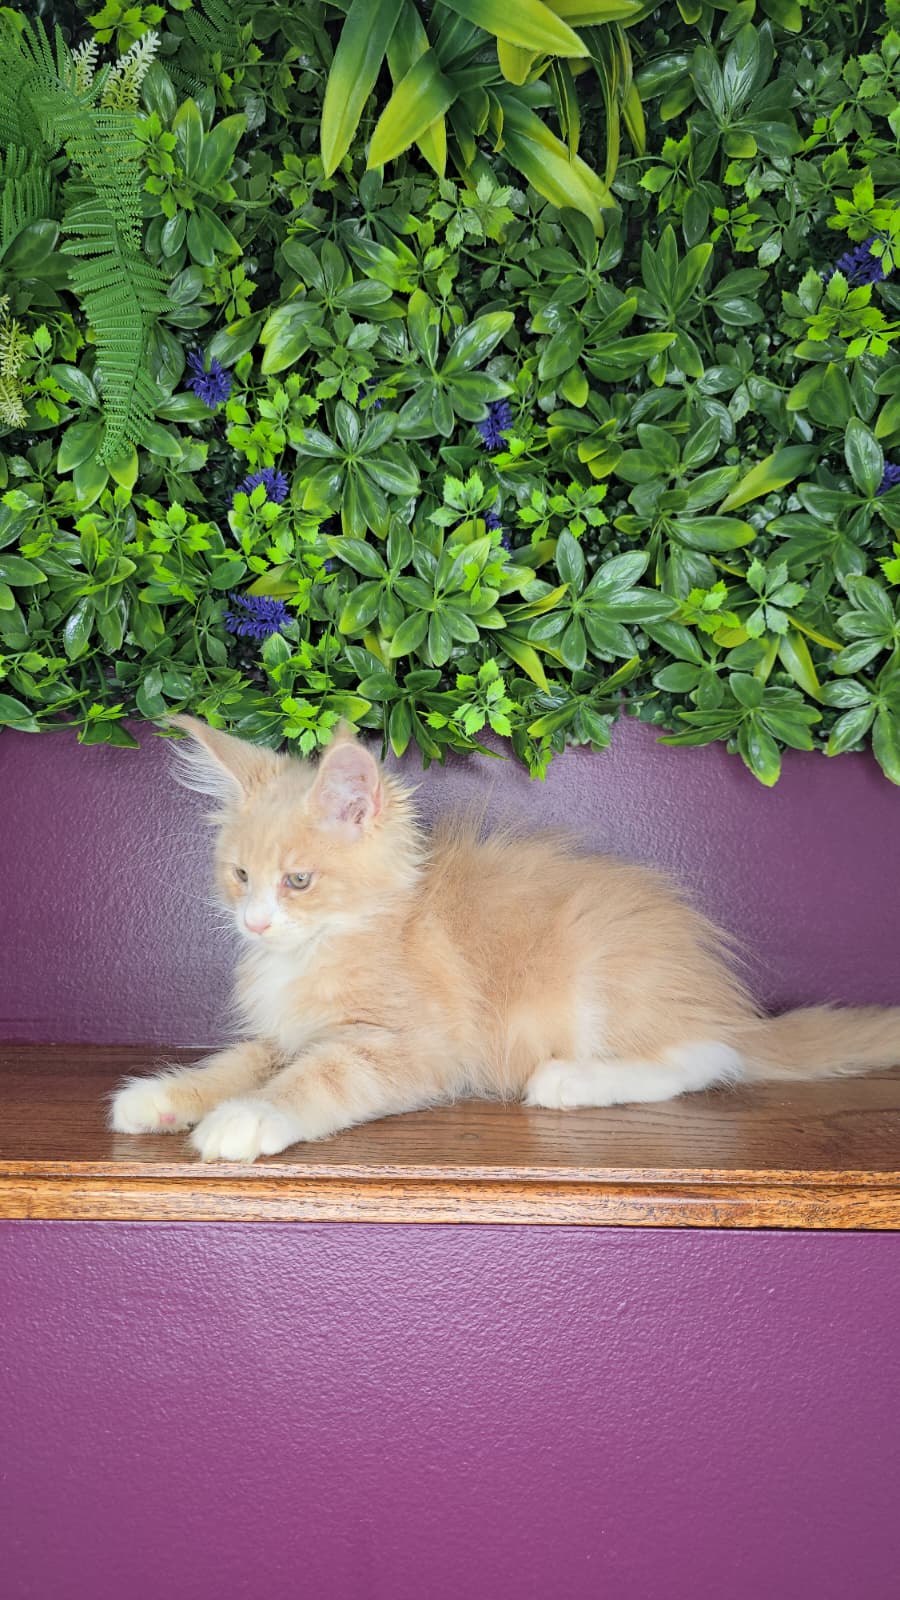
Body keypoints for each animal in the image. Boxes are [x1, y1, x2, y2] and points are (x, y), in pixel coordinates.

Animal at [110, 715, 900, 1163]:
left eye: (298, 881)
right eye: (240, 875)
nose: (255, 922)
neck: (340, 937)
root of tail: (728, 1000)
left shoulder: (407, 1045)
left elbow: (316, 1078)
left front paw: (246, 1119)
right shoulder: (285, 1032)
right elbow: (237, 1061)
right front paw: (162, 1096)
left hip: (606, 972)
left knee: (708, 1057)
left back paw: (569, 1081)